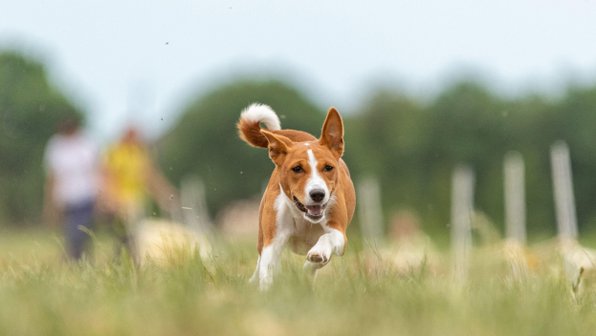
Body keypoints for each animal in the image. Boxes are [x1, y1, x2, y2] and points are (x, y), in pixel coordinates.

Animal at [236, 103, 354, 290]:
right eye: (297, 168)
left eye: (328, 167)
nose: (318, 194)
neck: (304, 217)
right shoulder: (272, 241)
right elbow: (267, 269)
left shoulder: (339, 233)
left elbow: (325, 240)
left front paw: (317, 253)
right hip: (262, 237)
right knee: (260, 263)